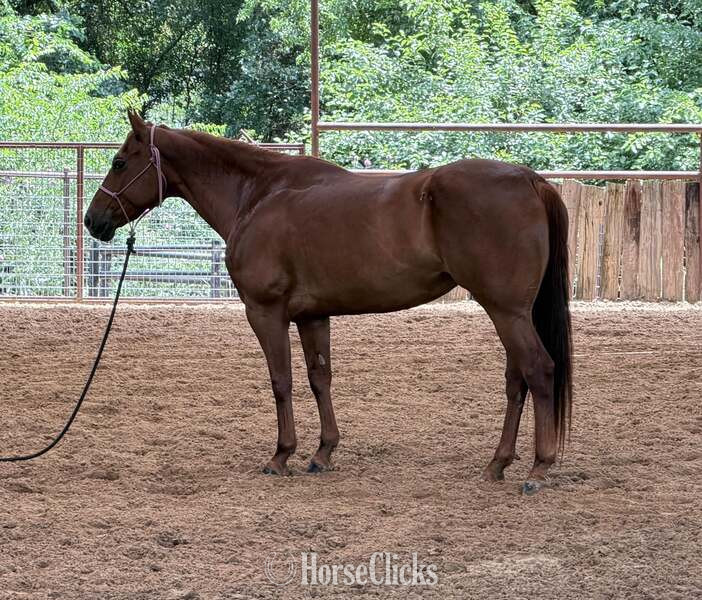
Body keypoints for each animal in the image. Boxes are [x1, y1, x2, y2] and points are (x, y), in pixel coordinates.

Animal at [85, 110, 573, 495]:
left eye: (119, 161)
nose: (93, 220)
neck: (259, 194)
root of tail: (530, 180)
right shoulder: (313, 316)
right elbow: (320, 378)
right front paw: (323, 453)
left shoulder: (265, 312)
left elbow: (281, 380)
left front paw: (281, 455)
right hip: (508, 313)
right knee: (516, 380)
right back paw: (498, 463)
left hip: (506, 312)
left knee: (539, 370)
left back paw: (538, 468)